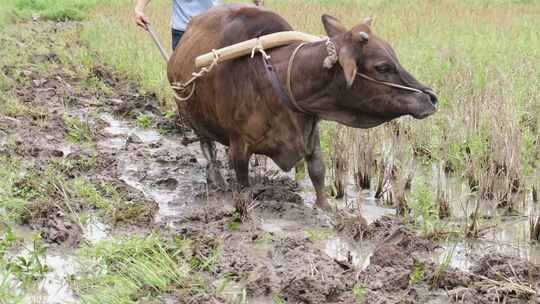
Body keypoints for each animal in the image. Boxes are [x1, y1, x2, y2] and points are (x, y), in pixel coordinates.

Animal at [169, 3, 438, 210]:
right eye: (383, 67)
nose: (432, 98)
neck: (272, 78)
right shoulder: (239, 145)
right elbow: (243, 184)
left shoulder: (310, 131)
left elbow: (318, 172)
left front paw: (324, 208)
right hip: (194, 119)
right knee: (208, 149)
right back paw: (216, 178)